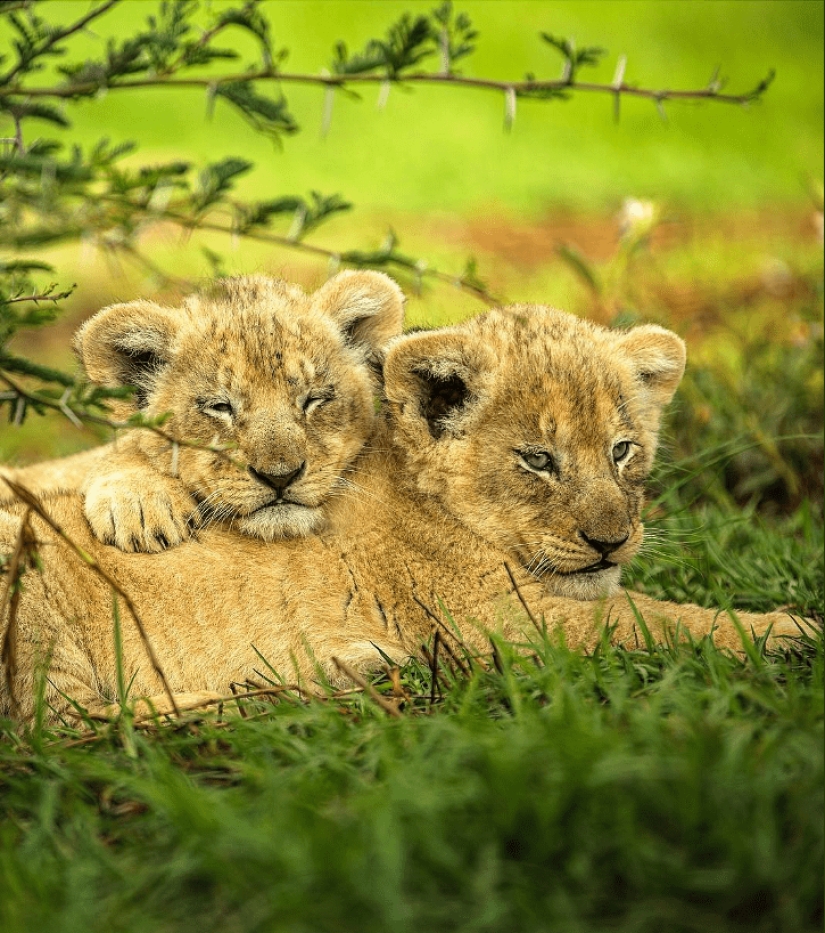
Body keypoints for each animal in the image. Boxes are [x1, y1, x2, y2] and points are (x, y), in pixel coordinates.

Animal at [0, 303, 808, 722]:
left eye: (621, 450)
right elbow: (656, 619)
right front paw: (789, 630)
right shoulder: (497, 627)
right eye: (536, 460)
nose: (612, 541)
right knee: (65, 721)